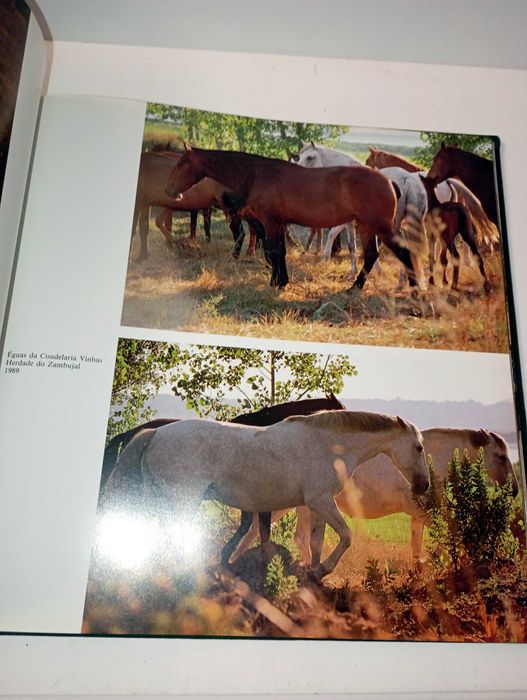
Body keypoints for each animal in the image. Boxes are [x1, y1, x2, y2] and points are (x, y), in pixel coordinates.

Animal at [103, 410, 429, 578]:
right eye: (418, 447)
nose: (423, 485)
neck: (331, 445)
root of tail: (156, 434)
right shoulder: (320, 501)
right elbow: (346, 536)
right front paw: (322, 569)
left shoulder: (317, 505)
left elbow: (317, 541)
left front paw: (313, 573)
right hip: (180, 500)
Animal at [165, 145, 417, 290]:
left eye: (181, 163)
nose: (170, 191)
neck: (258, 174)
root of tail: (389, 181)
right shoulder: (276, 223)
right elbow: (279, 251)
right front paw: (279, 280)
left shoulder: (270, 222)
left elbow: (276, 251)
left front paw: (277, 283)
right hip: (366, 227)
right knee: (372, 255)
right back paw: (355, 287)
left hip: (379, 227)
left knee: (404, 253)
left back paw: (414, 292)